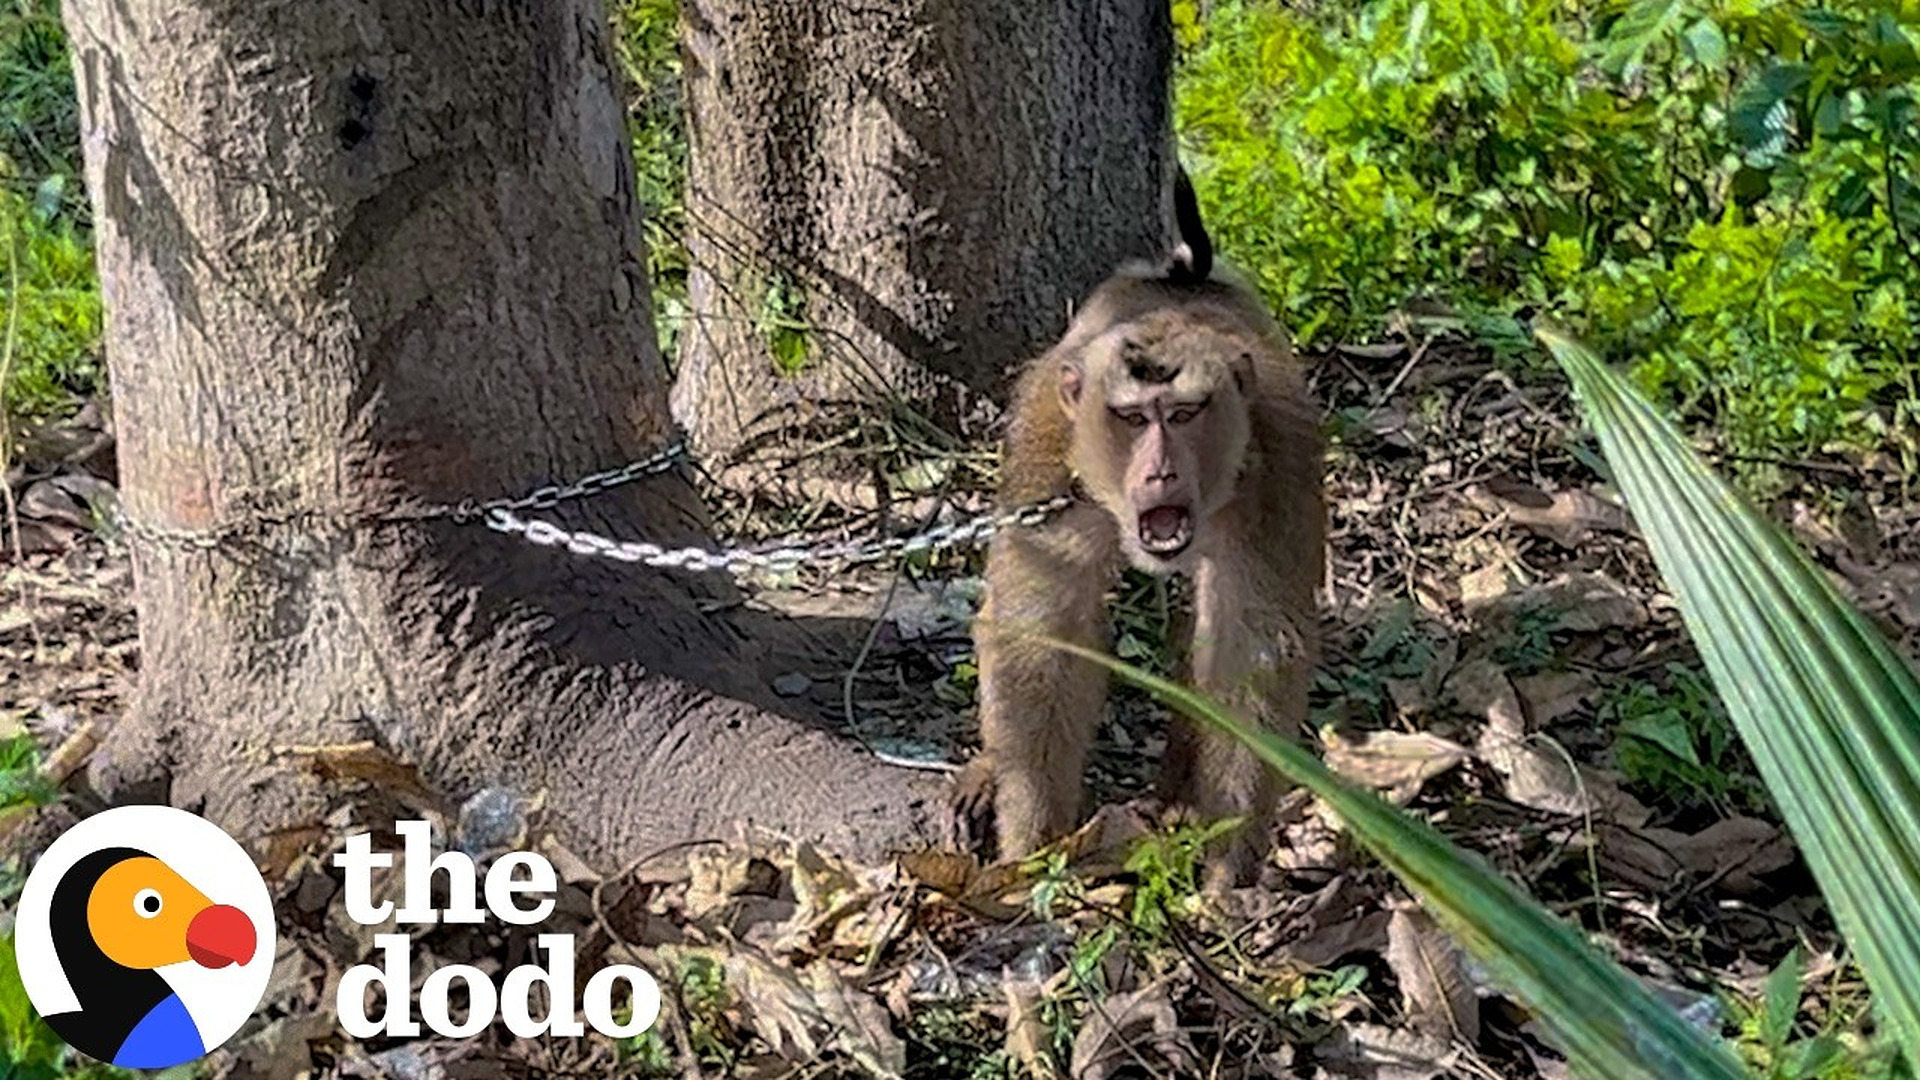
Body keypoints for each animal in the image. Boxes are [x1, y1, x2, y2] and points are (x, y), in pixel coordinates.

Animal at [954, 170, 1324, 888]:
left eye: (1184, 413)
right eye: (1131, 418)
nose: (1158, 473)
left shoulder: (1279, 464)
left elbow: (1250, 648)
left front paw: (1228, 870)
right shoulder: (1049, 449)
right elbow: (1042, 628)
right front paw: (1032, 847)